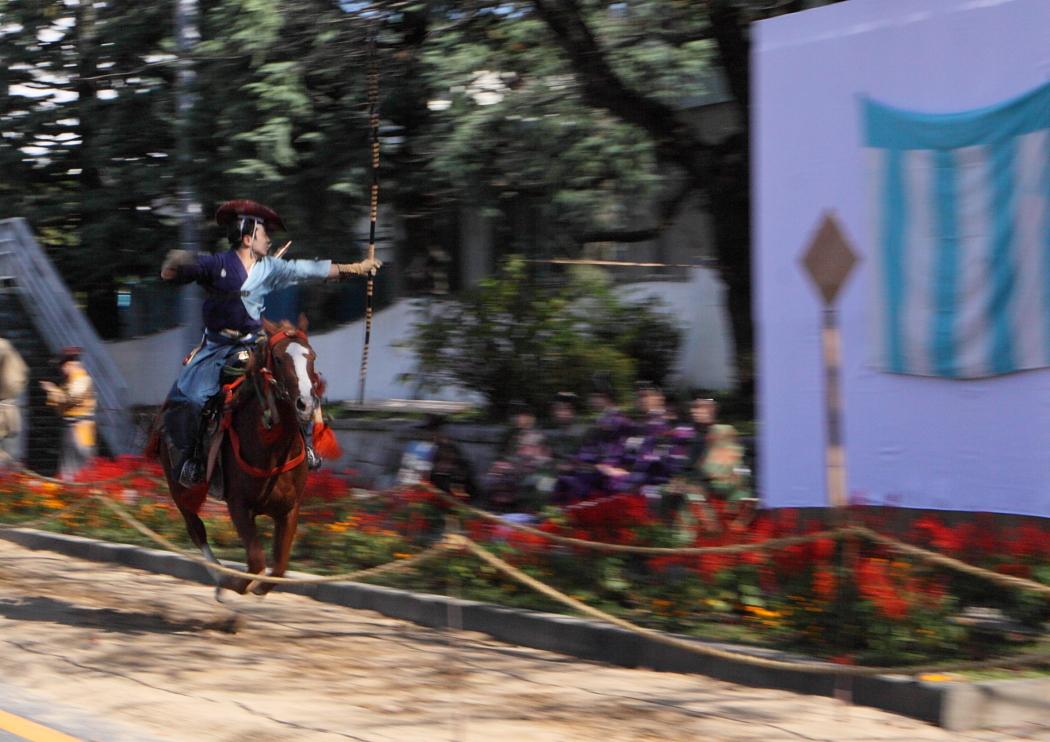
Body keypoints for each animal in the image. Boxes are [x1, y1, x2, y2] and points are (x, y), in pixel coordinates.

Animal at [153, 312, 323, 596]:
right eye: (278, 359)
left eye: (312, 357)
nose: (306, 404)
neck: (272, 448)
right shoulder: (239, 506)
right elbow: (256, 562)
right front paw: (234, 585)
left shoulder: (289, 509)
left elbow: (278, 567)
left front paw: (257, 588)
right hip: (180, 487)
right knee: (195, 528)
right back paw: (221, 581)